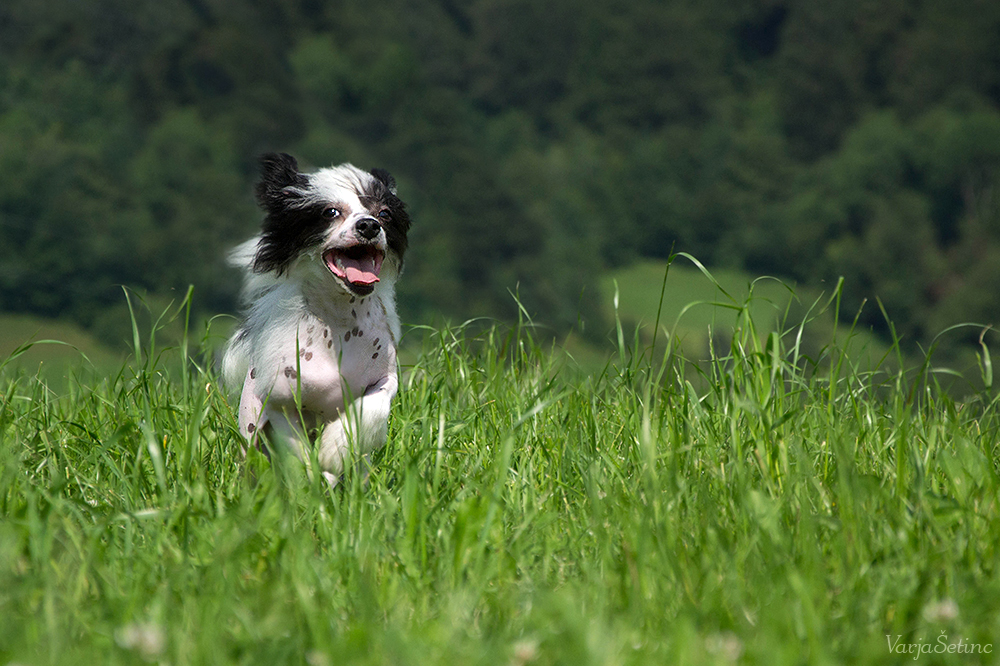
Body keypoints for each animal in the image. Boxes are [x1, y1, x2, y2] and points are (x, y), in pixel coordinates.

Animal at [223, 152, 410, 482]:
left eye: (385, 213)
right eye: (330, 211)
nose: (369, 225)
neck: (340, 321)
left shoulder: (383, 382)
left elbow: (370, 409)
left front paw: (334, 449)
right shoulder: (281, 404)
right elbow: (297, 456)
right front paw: (309, 481)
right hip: (250, 431)